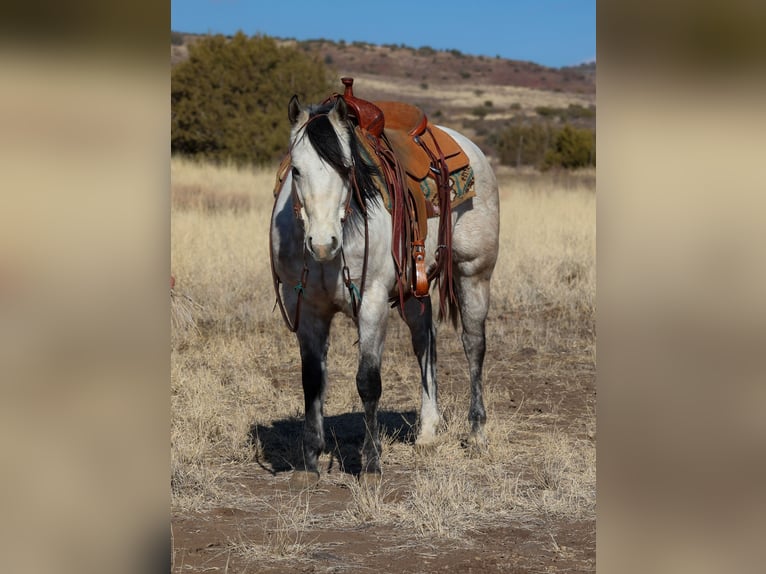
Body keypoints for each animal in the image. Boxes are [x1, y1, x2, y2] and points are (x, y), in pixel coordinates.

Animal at [272, 95, 504, 482]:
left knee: (474, 345)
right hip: (415, 292)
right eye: (297, 171)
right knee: (426, 341)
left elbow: (368, 381)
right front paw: (309, 461)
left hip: (473, 274)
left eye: (346, 168)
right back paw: (427, 432)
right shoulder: (307, 309)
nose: (323, 243)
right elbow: (312, 380)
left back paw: (477, 434)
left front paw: (371, 462)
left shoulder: (372, 303)